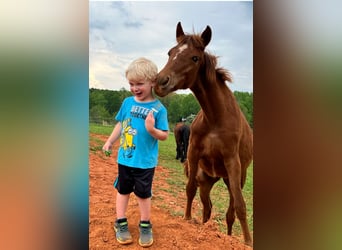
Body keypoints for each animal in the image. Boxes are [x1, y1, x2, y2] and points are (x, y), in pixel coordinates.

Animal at [154, 22, 252, 246]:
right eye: (170, 52)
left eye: (194, 58)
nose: (160, 82)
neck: (216, 117)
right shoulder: (193, 153)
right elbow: (189, 189)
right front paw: (187, 218)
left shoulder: (232, 162)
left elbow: (241, 206)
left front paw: (248, 241)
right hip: (207, 180)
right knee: (208, 208)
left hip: (233, 178)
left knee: (231, 211)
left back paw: (230, 237)